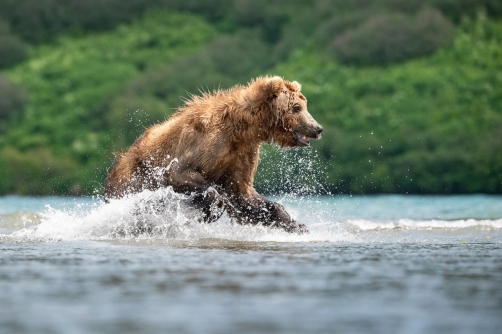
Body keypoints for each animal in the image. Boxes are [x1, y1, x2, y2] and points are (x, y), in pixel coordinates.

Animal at [104, 75, 324, 232]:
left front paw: (296, 224)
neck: (242, 127)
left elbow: (243, 194)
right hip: (132, 178)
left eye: (304, 105)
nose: (318, 128)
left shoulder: (242, 152)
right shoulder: (205, 143)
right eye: (297, 107)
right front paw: (210, 212)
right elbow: (182, 173)